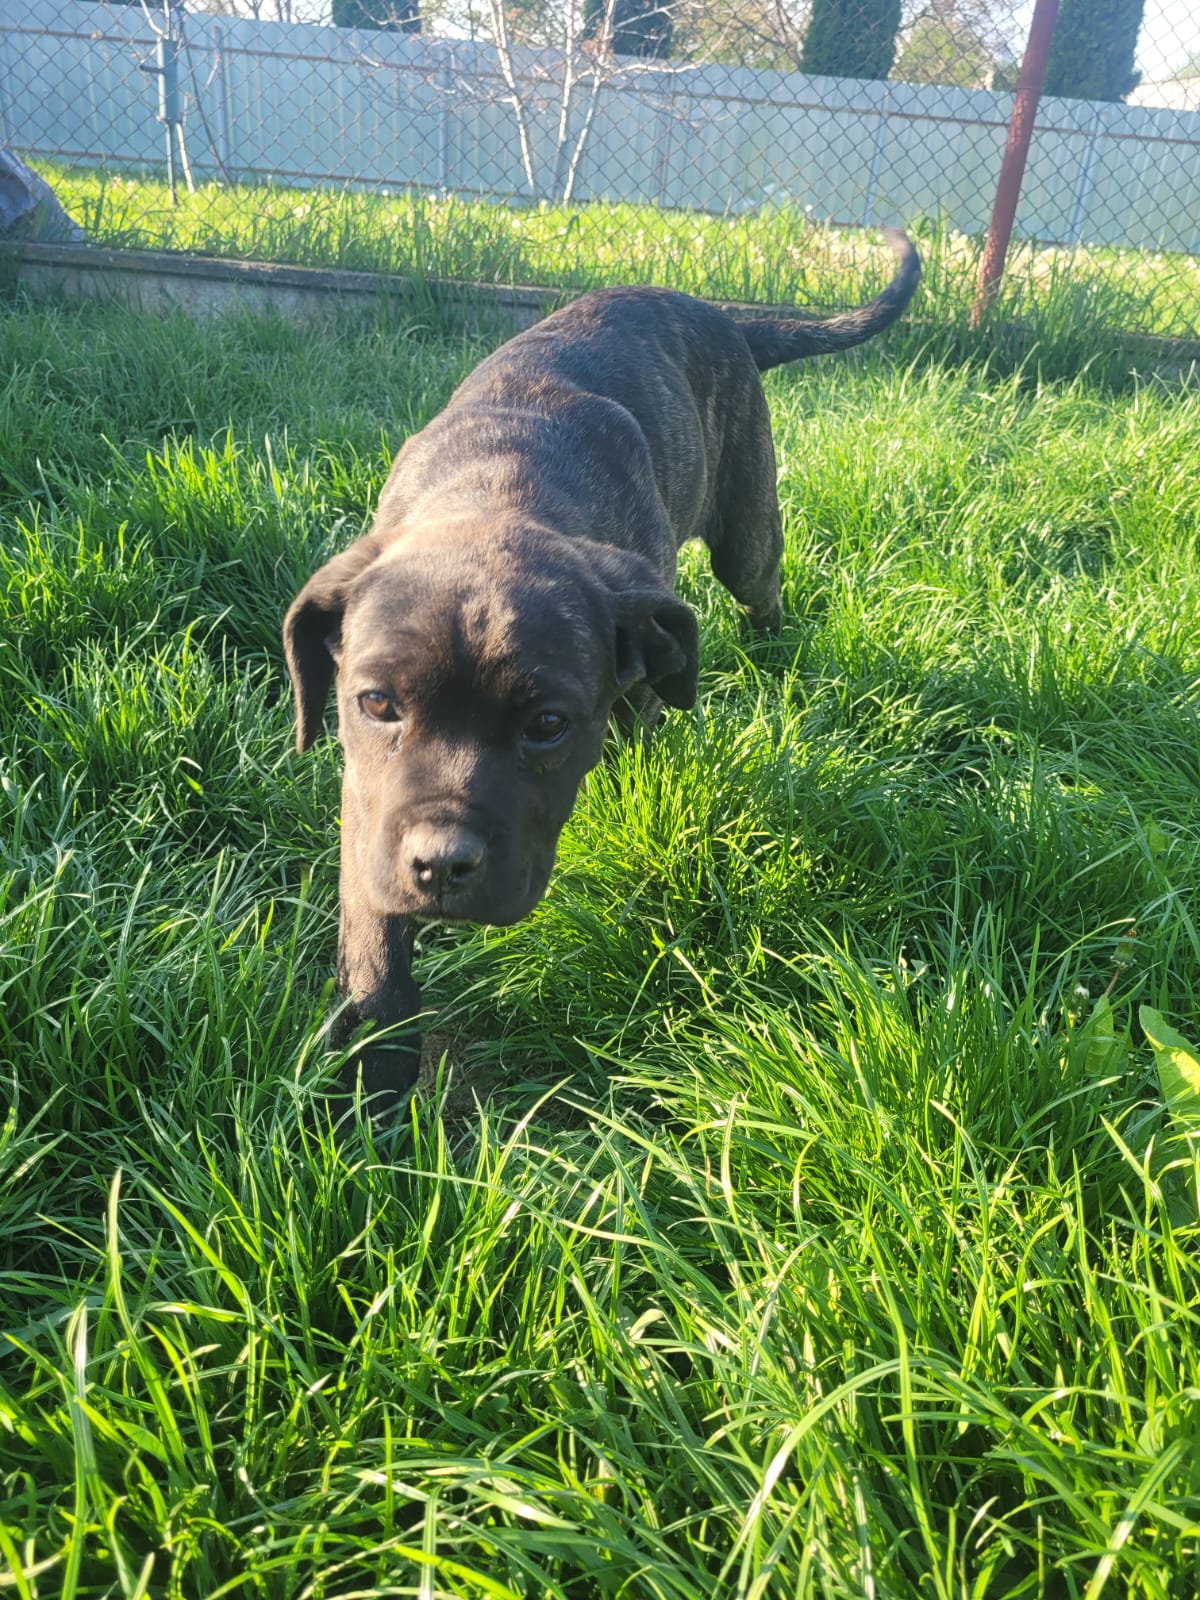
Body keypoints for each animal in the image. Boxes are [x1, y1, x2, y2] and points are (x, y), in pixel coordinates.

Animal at [284, 229, 920, 1103]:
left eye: (548, 726)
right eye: (376, 704)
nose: (443, 866)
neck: (496, 496)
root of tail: (717, 313)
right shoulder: (368, 805)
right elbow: (375, 943)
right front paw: (379, 1074)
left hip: (746, 534)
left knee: (763, 598)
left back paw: (775, 665)